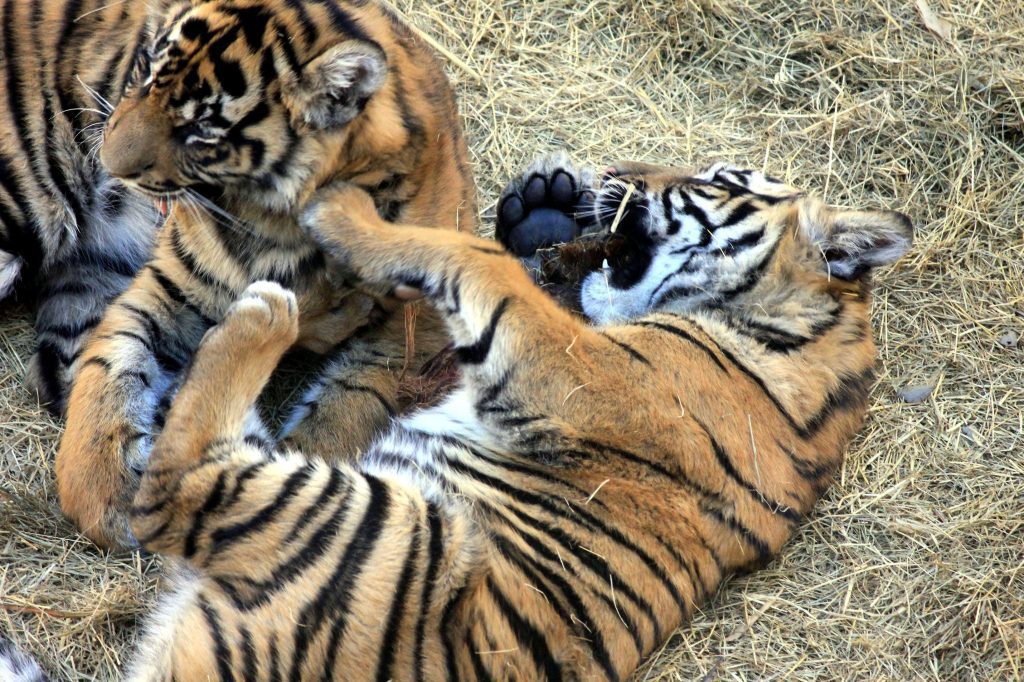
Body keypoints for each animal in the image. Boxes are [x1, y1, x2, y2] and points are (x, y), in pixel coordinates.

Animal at [22, 151, 911, 680]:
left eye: (722, 178)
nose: (615, 171)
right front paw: (539, 211)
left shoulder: (571, 370)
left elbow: (472, 260)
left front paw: (346, 212)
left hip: (394, 532)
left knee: (176, 487)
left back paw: (266, 313)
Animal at [50, 0, 476, 550]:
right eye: (144, 70)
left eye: (202, 130)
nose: (108, 162)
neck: (275, 223)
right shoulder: (169, 287)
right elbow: (109, 364)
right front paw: (102, 487)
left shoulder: (410, 329)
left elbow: (353, 407)